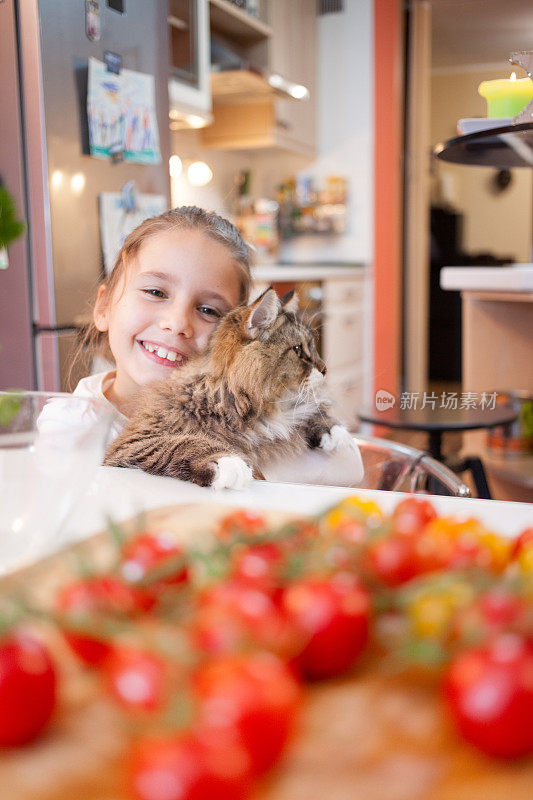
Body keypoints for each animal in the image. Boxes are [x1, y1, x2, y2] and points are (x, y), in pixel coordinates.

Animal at [103, 288, 362, 488]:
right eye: (299, 350)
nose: (325, 369)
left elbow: (306, 412)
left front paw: (336, 432)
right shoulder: (135, 441)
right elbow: (183, 443)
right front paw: (227, 462)